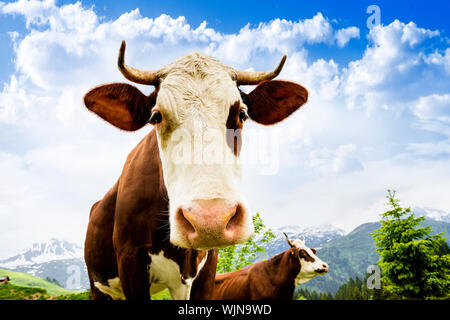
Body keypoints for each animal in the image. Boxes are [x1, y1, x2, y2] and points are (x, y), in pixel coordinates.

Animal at [82, 40, 310, 300]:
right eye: (156, 116)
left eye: (241, 114)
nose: (209, 220)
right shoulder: (130, 258)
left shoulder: (208, 265)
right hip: (97, 284)